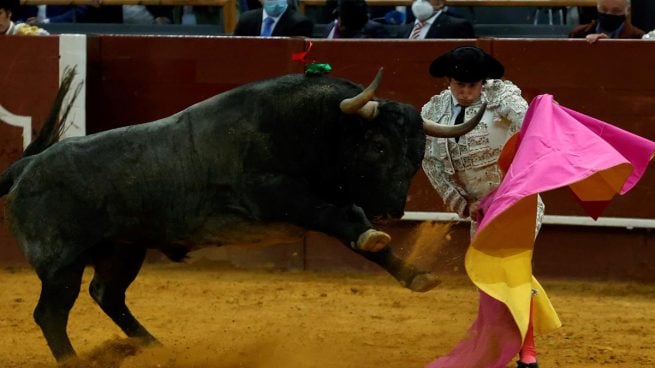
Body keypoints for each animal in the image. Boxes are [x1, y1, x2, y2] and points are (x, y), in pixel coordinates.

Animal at [0, 67, 482, 360]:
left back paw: (157, 348)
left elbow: (359, 235)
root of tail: (27, 167)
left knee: (108, 295)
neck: (314, 129)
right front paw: (377, 238)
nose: (391, 212)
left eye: (418, 154)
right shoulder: (272, 195)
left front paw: (414, 274)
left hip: (124, 250)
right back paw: (75, 361)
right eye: (378, 146)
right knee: (51, 314)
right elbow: (336, 220)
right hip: (62, 262)